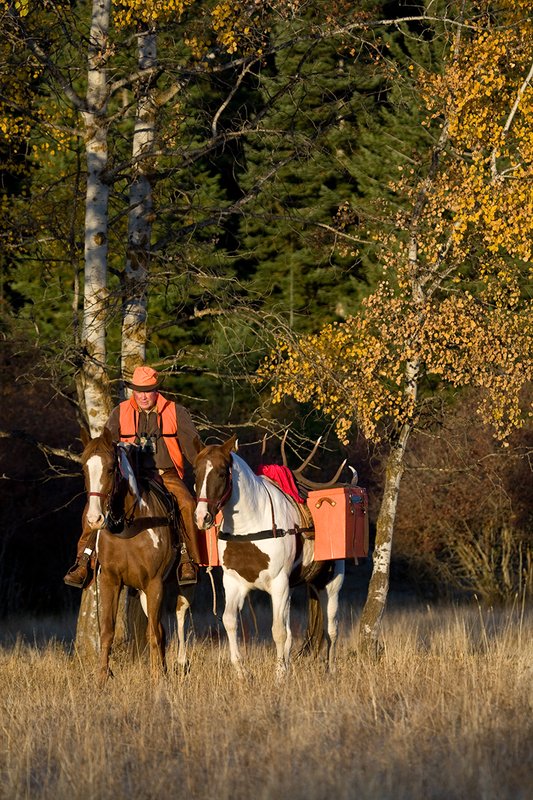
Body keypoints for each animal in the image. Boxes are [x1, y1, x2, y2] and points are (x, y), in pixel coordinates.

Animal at [80, 427, 193, 684]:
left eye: (111, 468)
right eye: (84, 468)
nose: (94, 519)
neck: (129, 525)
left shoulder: (154, 583)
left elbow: (154, 632)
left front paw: (156, 679)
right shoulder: (110, 580)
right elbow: (107, 631)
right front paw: (102, 678)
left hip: (176, 584)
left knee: (179, 613)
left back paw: (179, 664)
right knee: (160, 628)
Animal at [193, 435, 345, 677]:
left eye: (222, 472)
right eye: (195, 472)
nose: (202, 517)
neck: (251, 526)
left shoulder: (279, 583)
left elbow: (278, 631)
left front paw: (280, 674)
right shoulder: (234, 583)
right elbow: (230, 621)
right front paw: (241, 672)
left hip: (330, 585)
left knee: (331, 629)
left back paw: (330, 670)